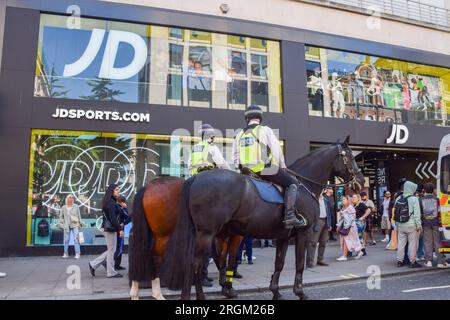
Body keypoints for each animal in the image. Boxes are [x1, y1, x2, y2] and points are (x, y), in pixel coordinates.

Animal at [163, 138, 364, 300]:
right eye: (351, 157)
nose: (361, 181)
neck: (304, 184)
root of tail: (196, 178)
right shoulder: (303, 233)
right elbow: (299, 263)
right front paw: (300, 292)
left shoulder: (283, 237)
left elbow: (279, 263)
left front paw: (275, 291)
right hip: (206, 234)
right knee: (195, 264)